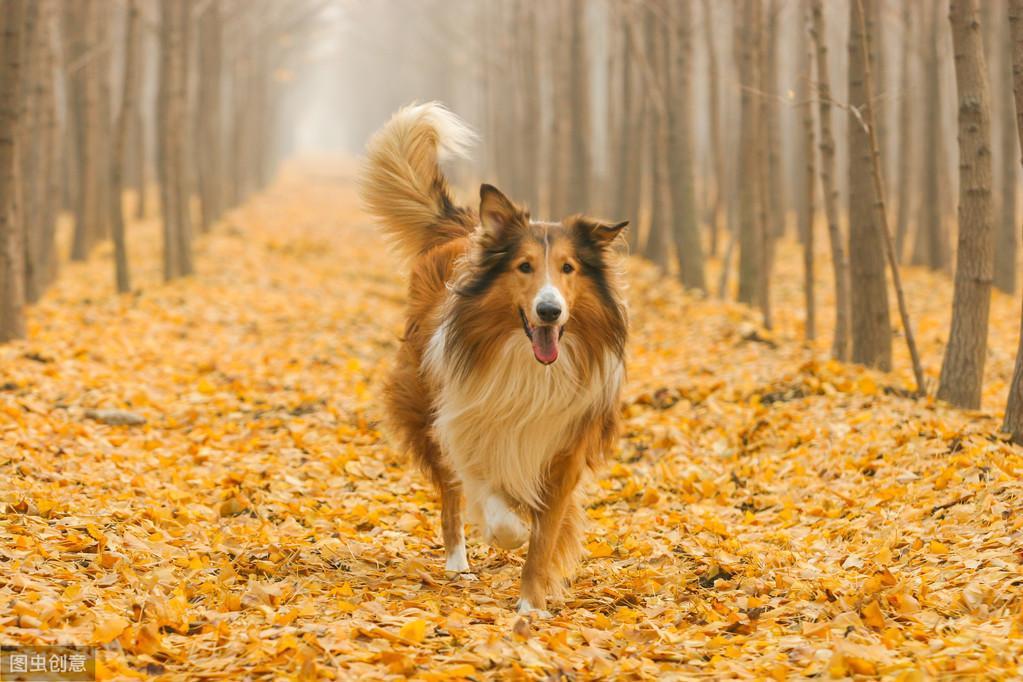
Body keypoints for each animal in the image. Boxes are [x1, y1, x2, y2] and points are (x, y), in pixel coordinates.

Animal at [360, 102, 630, 617]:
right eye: (524, 267)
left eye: (568, 268)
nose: (549, 310)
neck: (529, 367)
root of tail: (463, 226)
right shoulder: (467, 426)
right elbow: (494, 505)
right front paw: (508, 532)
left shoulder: (563, 450)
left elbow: (544, 537)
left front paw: (531, 606)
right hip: (426, 407)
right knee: (450, 498)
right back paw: (458, 563)